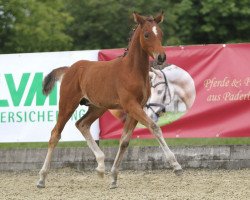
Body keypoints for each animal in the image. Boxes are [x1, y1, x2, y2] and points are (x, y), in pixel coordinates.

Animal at [37, 12, 182, 189]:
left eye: (160, 34)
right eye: (147, 34)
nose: (161, 57)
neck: (132, 71)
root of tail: (69, 69)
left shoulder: (137, 108)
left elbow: (124, 140)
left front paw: (113, 177)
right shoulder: (131, 105)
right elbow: (154, 127)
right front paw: (176, 166)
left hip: (97, 107)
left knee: (82, 124)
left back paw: (100, 167)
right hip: (67, 104)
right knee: (55, 134)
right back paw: (42, 178)